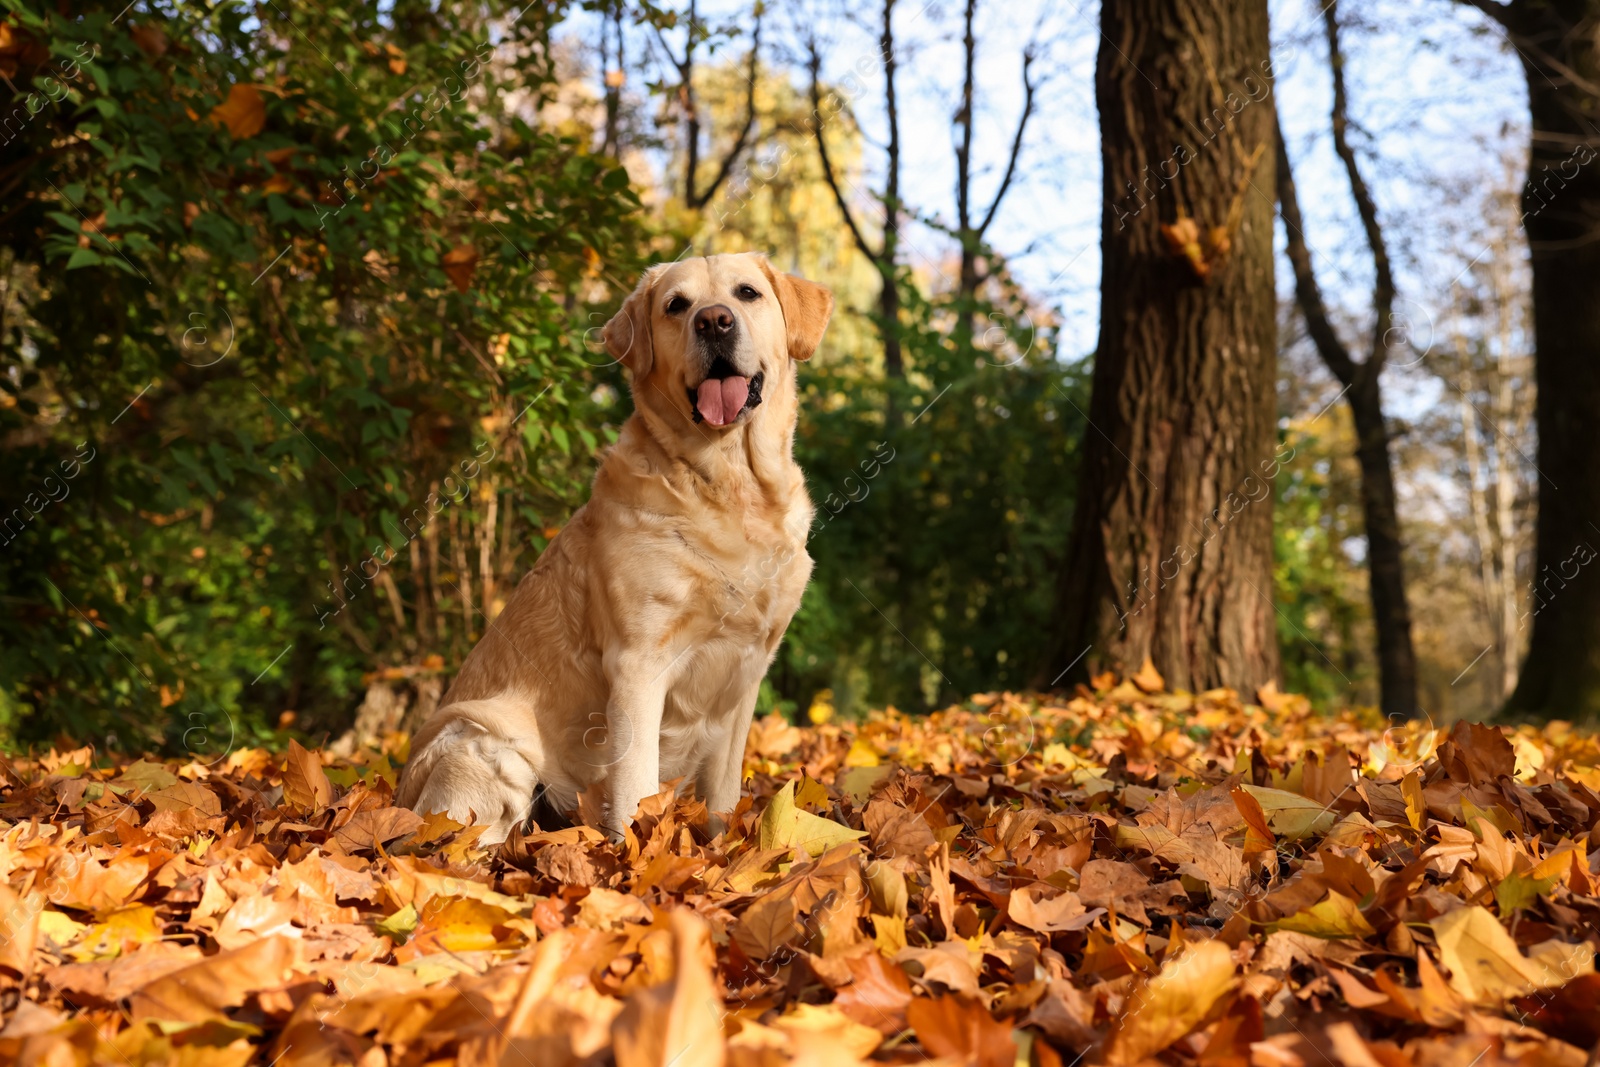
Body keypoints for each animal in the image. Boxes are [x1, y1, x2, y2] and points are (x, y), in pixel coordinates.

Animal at [393, 254, 832, 844]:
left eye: (747, 293)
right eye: (676, 305)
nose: (714, 321)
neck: (730, 483)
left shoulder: (747, 672)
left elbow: (722, 796)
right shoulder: (638, 664)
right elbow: (635, 787)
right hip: (482, 748)